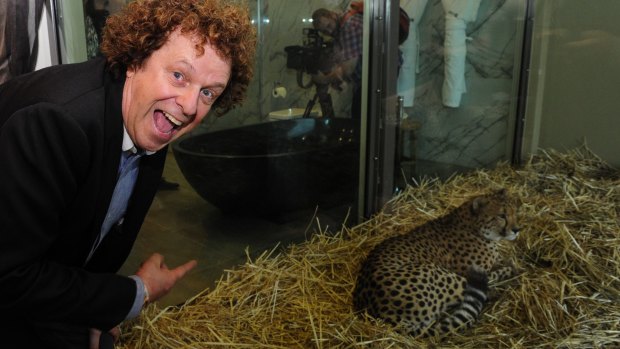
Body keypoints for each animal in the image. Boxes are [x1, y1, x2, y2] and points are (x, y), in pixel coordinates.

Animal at [354, 189, 520, 336]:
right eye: (502, 216)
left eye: (514, 212)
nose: (517, 229)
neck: (474, 226)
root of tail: (387, 317)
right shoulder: (474, 271)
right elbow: (494, 274)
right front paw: (513, 268)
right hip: (442, 275)